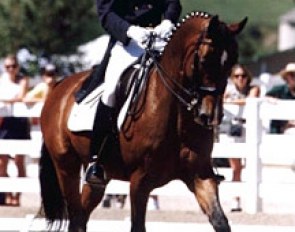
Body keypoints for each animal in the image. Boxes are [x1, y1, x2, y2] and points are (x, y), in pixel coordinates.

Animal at [39, 11, 247, 232]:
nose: (211, 116)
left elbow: (220, 222)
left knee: (80, 218)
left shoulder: (200, 175)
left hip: (97, 179)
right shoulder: (139, 182)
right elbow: (137, 225)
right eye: (206, 59)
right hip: (66, 166)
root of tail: (60, 87)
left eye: (233, 60)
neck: (177, 117)